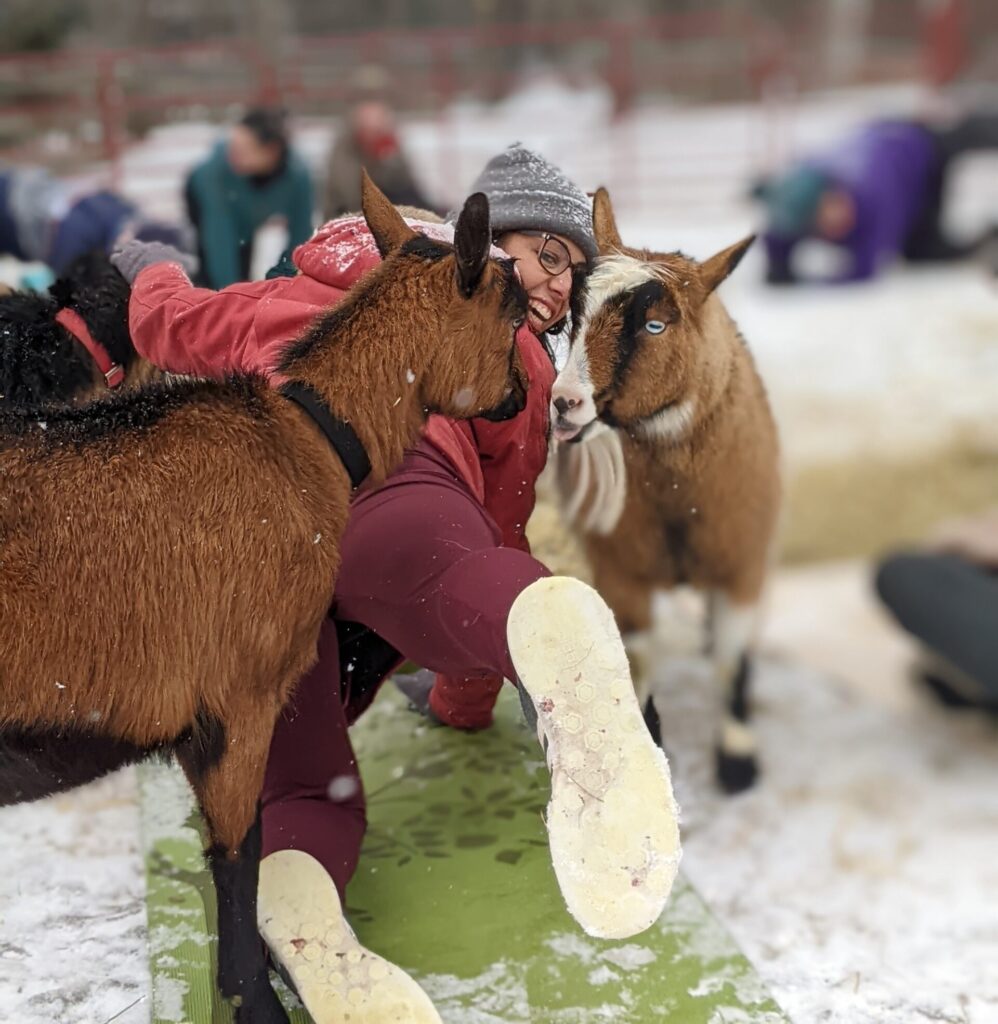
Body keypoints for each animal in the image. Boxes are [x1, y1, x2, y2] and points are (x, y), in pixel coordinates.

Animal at [552, 187, 780, 794]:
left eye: (654, 326)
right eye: (574, 314)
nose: (564, 404)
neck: (678, 494)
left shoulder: (740, 564)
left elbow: (731, 661)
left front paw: (737, 760)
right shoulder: (621, 571)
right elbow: (637, 664)